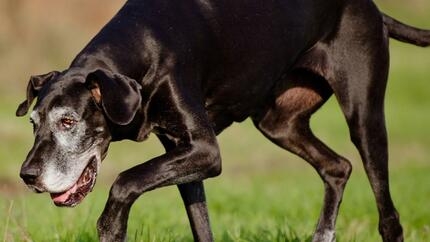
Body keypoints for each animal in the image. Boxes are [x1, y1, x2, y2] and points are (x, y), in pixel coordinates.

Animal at [15, 0, 428, 242]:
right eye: (34, 122)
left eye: (68, 122)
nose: (27, 176)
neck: (143, 49)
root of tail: (373, 9)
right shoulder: (183, 155)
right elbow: (200, 222)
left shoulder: (204, 151)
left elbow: (124, 180)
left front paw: (111, 225)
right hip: (278, 122)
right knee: (338, 167)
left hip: (365, 119)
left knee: (388, 213)